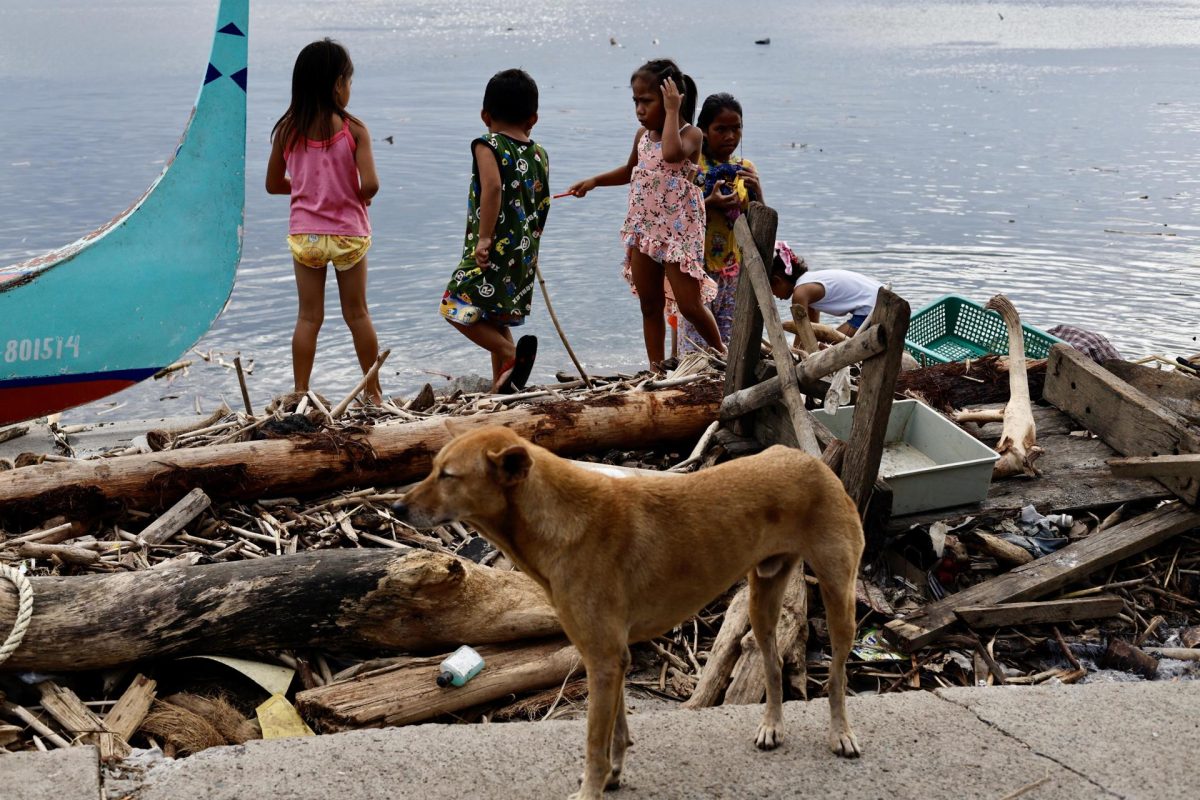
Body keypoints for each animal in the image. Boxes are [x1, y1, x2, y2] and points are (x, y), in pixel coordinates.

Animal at [393, 424, 864, 796]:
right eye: (433, 467)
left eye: (448, 475)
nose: (396, 507)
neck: (559, 520)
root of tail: (812, 460)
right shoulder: (610, 657)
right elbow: (616, 730)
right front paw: (614, 776)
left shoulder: (603, 659)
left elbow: (593, 742)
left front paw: (591, 789)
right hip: (762, 600)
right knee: (771, 662)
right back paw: (772, 724)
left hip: (839, 598)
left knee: (837, 675)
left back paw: (841, 733)